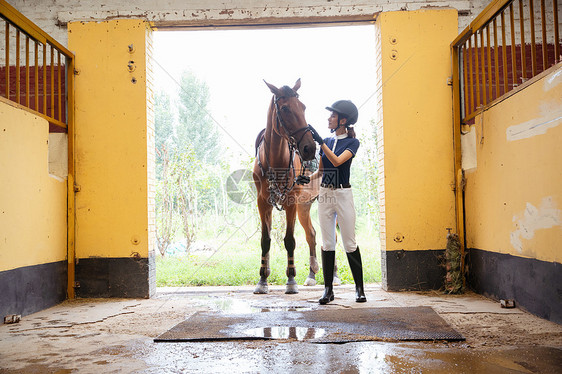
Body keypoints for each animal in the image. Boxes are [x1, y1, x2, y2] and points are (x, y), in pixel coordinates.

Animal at [254, 79, 320, 296]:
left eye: (303, 107)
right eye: (285, 108)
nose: (309, 148)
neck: (276, 159)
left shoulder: (291, 201)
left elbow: (290, 240)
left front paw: (291, 280)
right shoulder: (263, 202)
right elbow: (265, 240)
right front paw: (262, 279)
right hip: (304, 206)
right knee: (311, 234)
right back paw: (311, 275)